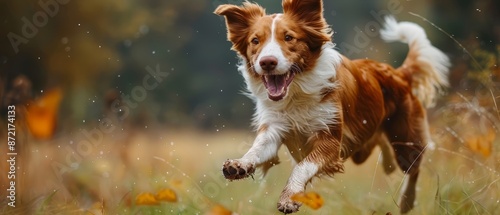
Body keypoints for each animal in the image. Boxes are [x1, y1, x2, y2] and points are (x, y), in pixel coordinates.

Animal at [214, 0, 450, 213]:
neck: (296, 94)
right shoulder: (274, 127)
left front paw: (290, 197)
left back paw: (406, 201)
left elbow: (302, 166)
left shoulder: (330, 138)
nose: (267, 62)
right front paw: (239, 164)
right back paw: (387, 162)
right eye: (255, 41)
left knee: (413, 166)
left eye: (289, 37)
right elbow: (257, 149)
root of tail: (400, 73)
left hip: (405, 138)